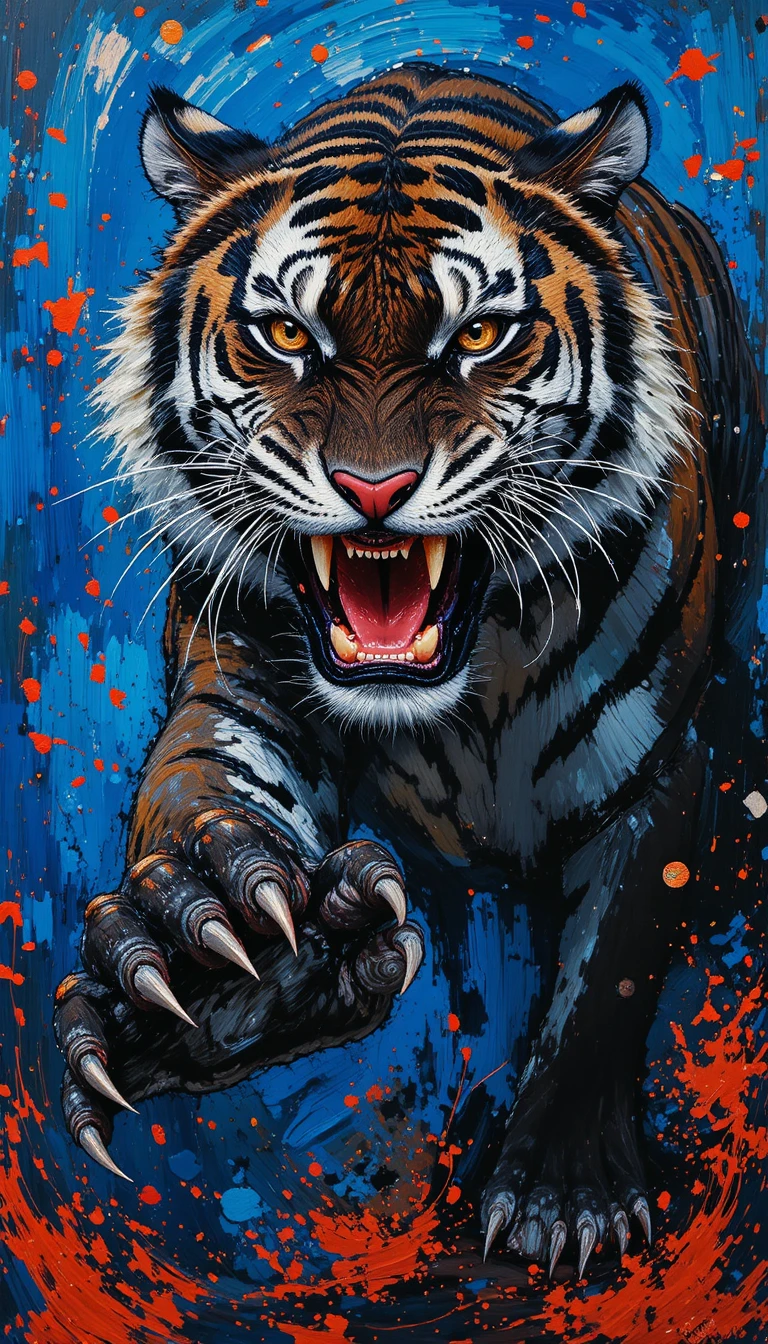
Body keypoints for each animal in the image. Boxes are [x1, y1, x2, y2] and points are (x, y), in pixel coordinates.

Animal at [54, 63, 763, 1279]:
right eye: (283, 332)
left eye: (478, 334)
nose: (373, 487)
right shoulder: (233, 676)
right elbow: (201, 789)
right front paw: (215, 969)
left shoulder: (658, 762)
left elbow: (611, 964)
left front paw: (565, 1195)